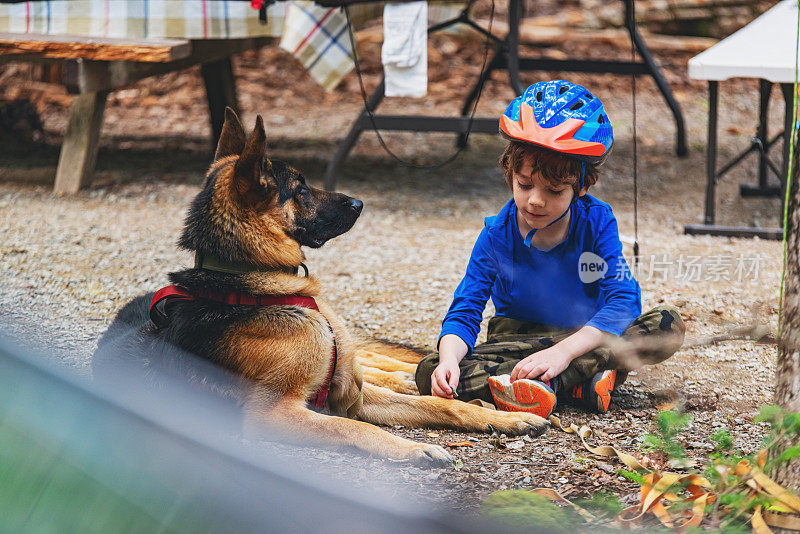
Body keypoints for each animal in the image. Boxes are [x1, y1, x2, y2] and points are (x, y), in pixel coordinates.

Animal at [92, 110, 544, 468]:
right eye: (302, 189)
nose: (360, 202)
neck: (253, 282)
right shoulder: (278, 413)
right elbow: (353, 428)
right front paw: (415, 449)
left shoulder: (351, 389)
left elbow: (436, 404)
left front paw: (502, 418)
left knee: (380, 362)